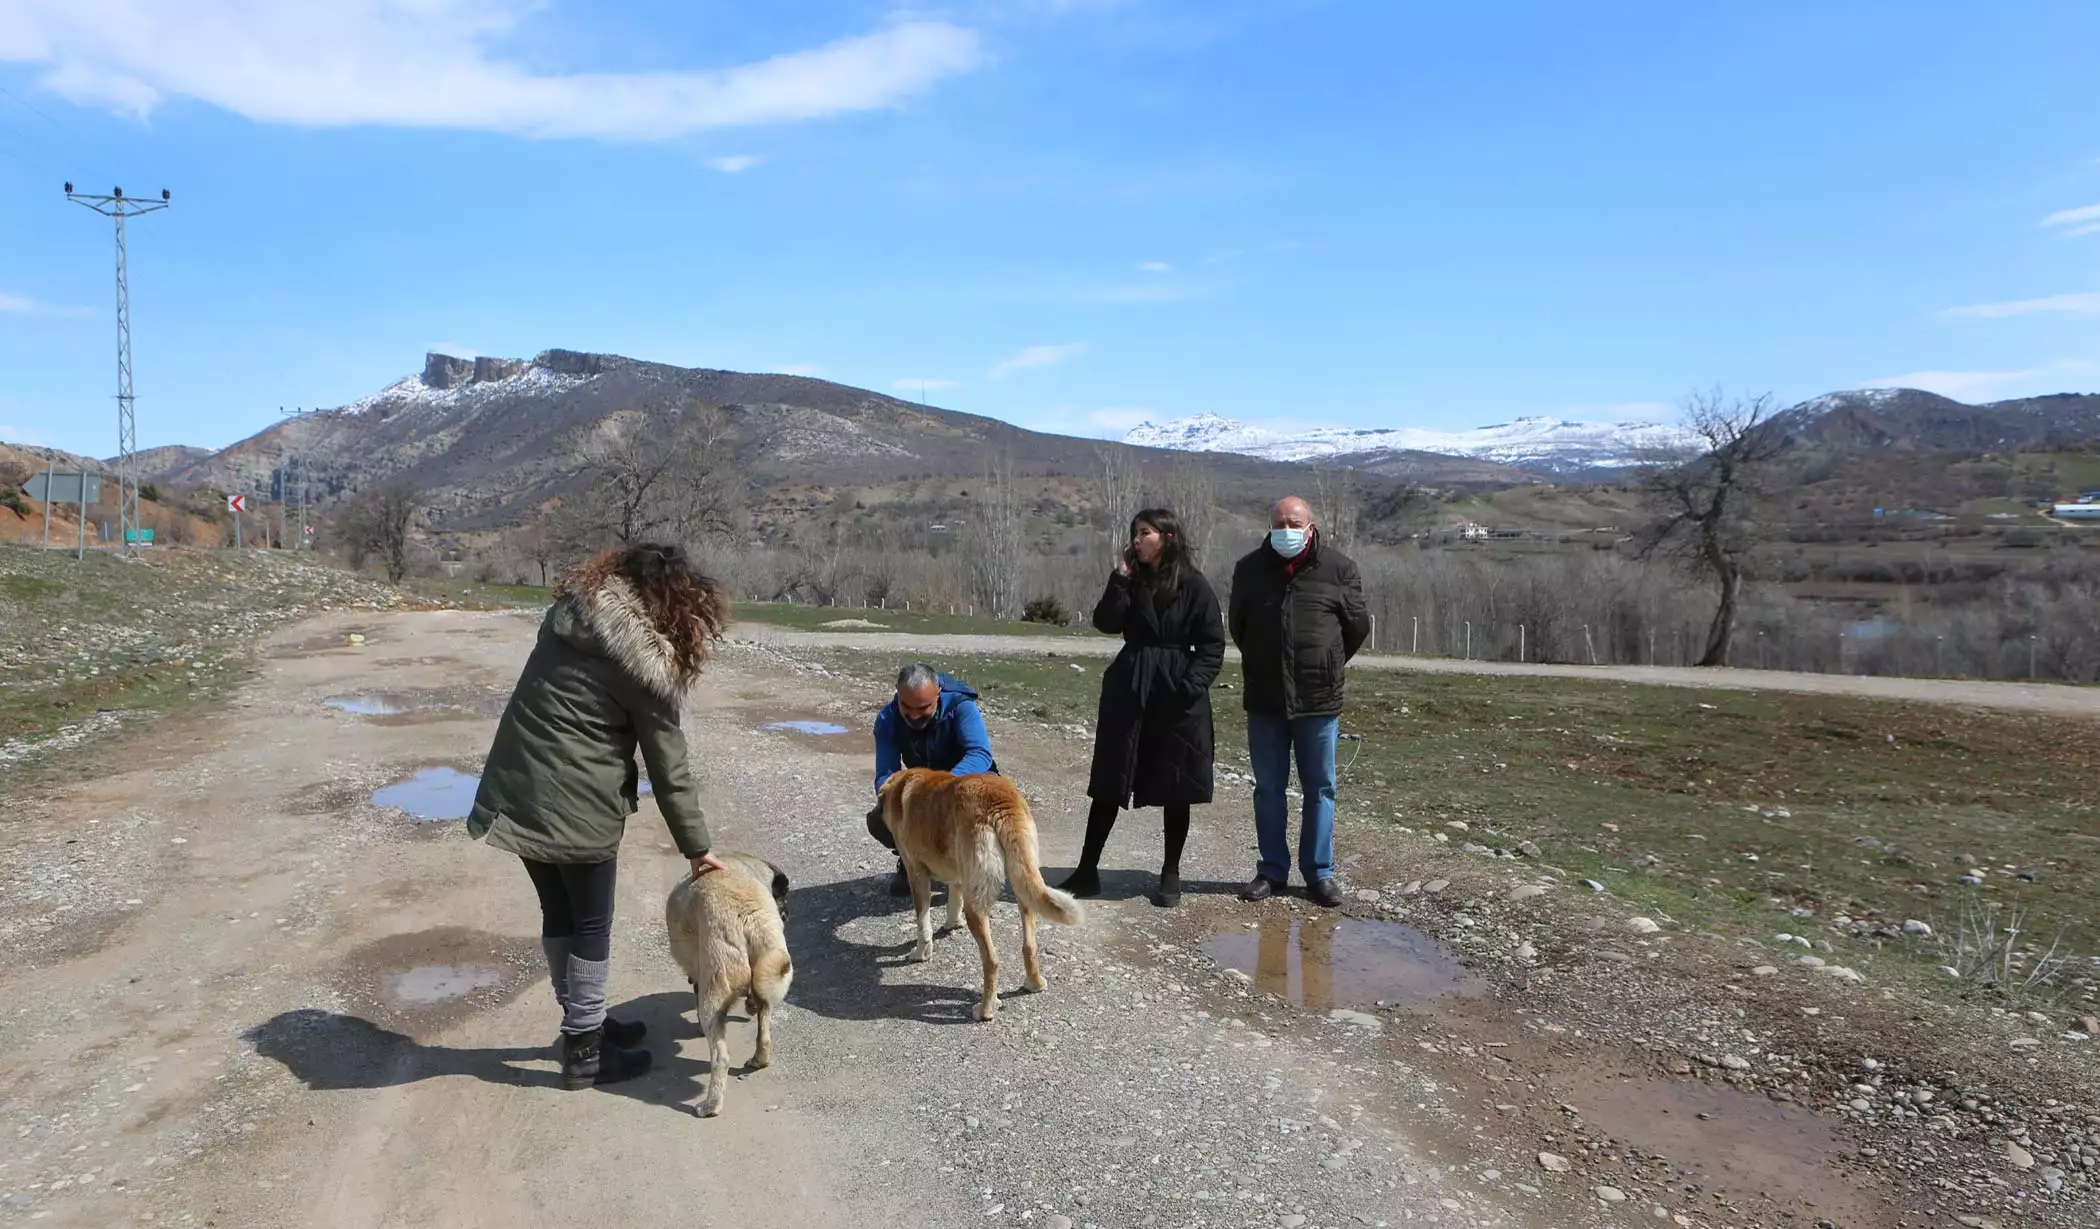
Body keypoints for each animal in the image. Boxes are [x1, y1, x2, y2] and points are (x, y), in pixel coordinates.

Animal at [663, 848, 793, 1117]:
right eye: (784, 896)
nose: (787, 911)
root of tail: (748, 915)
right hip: (768, 971)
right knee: (764, 1030)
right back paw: (758, 1059)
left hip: (713, 996)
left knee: (720, 1057)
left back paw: (710, 1105)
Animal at [877, 764, 1092, 1016]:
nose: (871, 816)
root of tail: (1001, 800)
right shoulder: (960, 873)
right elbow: (954, 898)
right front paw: (952, 924)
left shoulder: (916, 874)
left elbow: (923, 924)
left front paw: (921, 953)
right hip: (1023, 885)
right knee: (1029, 945)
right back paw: (1035, 984)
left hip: (978, 908)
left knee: (992, 960)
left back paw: (985, 1009)